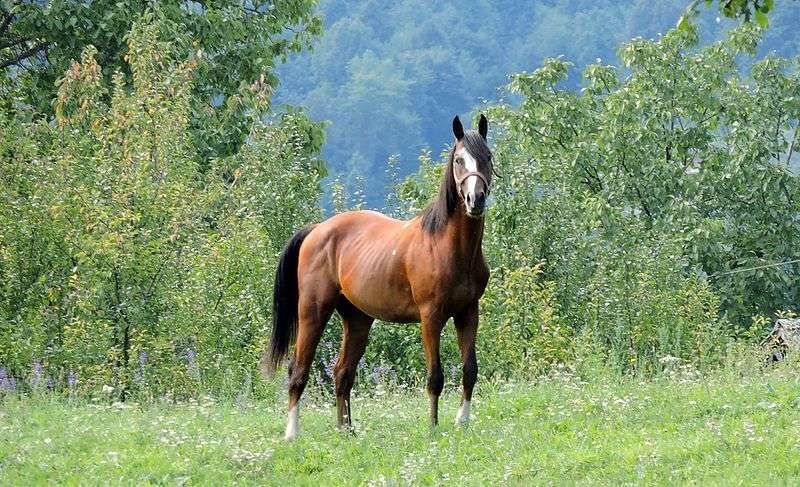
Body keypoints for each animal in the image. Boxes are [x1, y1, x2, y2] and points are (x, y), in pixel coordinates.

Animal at [262, 114, 494, 440]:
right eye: (459, 159)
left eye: (488, 157)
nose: (475, 199)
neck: (445, 246)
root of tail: (317, 230)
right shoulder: (431, 317)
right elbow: (435, 376)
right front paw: (433, 428)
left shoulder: (469, 312)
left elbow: (470, 369)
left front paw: (462, 421)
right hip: (313, 312)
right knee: (298, 370)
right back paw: (292, 433)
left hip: (358, 320)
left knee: (342, 373)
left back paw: (346, 430)